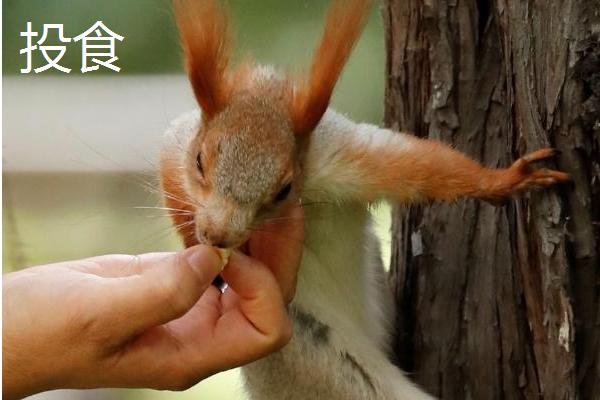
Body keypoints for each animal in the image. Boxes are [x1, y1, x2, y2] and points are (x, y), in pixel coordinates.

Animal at [161, 1, 572, 398]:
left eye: (284, 190)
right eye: (199, 161)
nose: (217, 235)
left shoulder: (345, 160)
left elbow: (424, 167)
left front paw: (506, 179)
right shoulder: (179, 143)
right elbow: (169, 170)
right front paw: (193, 242)